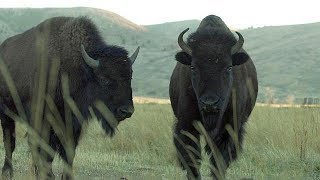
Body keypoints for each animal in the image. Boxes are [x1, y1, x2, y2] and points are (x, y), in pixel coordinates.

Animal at [0, 16, 139, 179]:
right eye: (105, 79)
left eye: (130, 77)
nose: (127, 111)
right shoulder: (43, 119)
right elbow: (45, 149)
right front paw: (48, 174)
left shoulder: (73, 122)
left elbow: (68, 152)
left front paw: (64, 176)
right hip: (6, 113)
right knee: (10, 140)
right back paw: (7, 171)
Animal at [170, 15, 258, 179]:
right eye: (193, 67)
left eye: (229, 67)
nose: (210, 103)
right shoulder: (186, 125)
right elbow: (191, 158)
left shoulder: (229, 128)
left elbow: (219, 161)